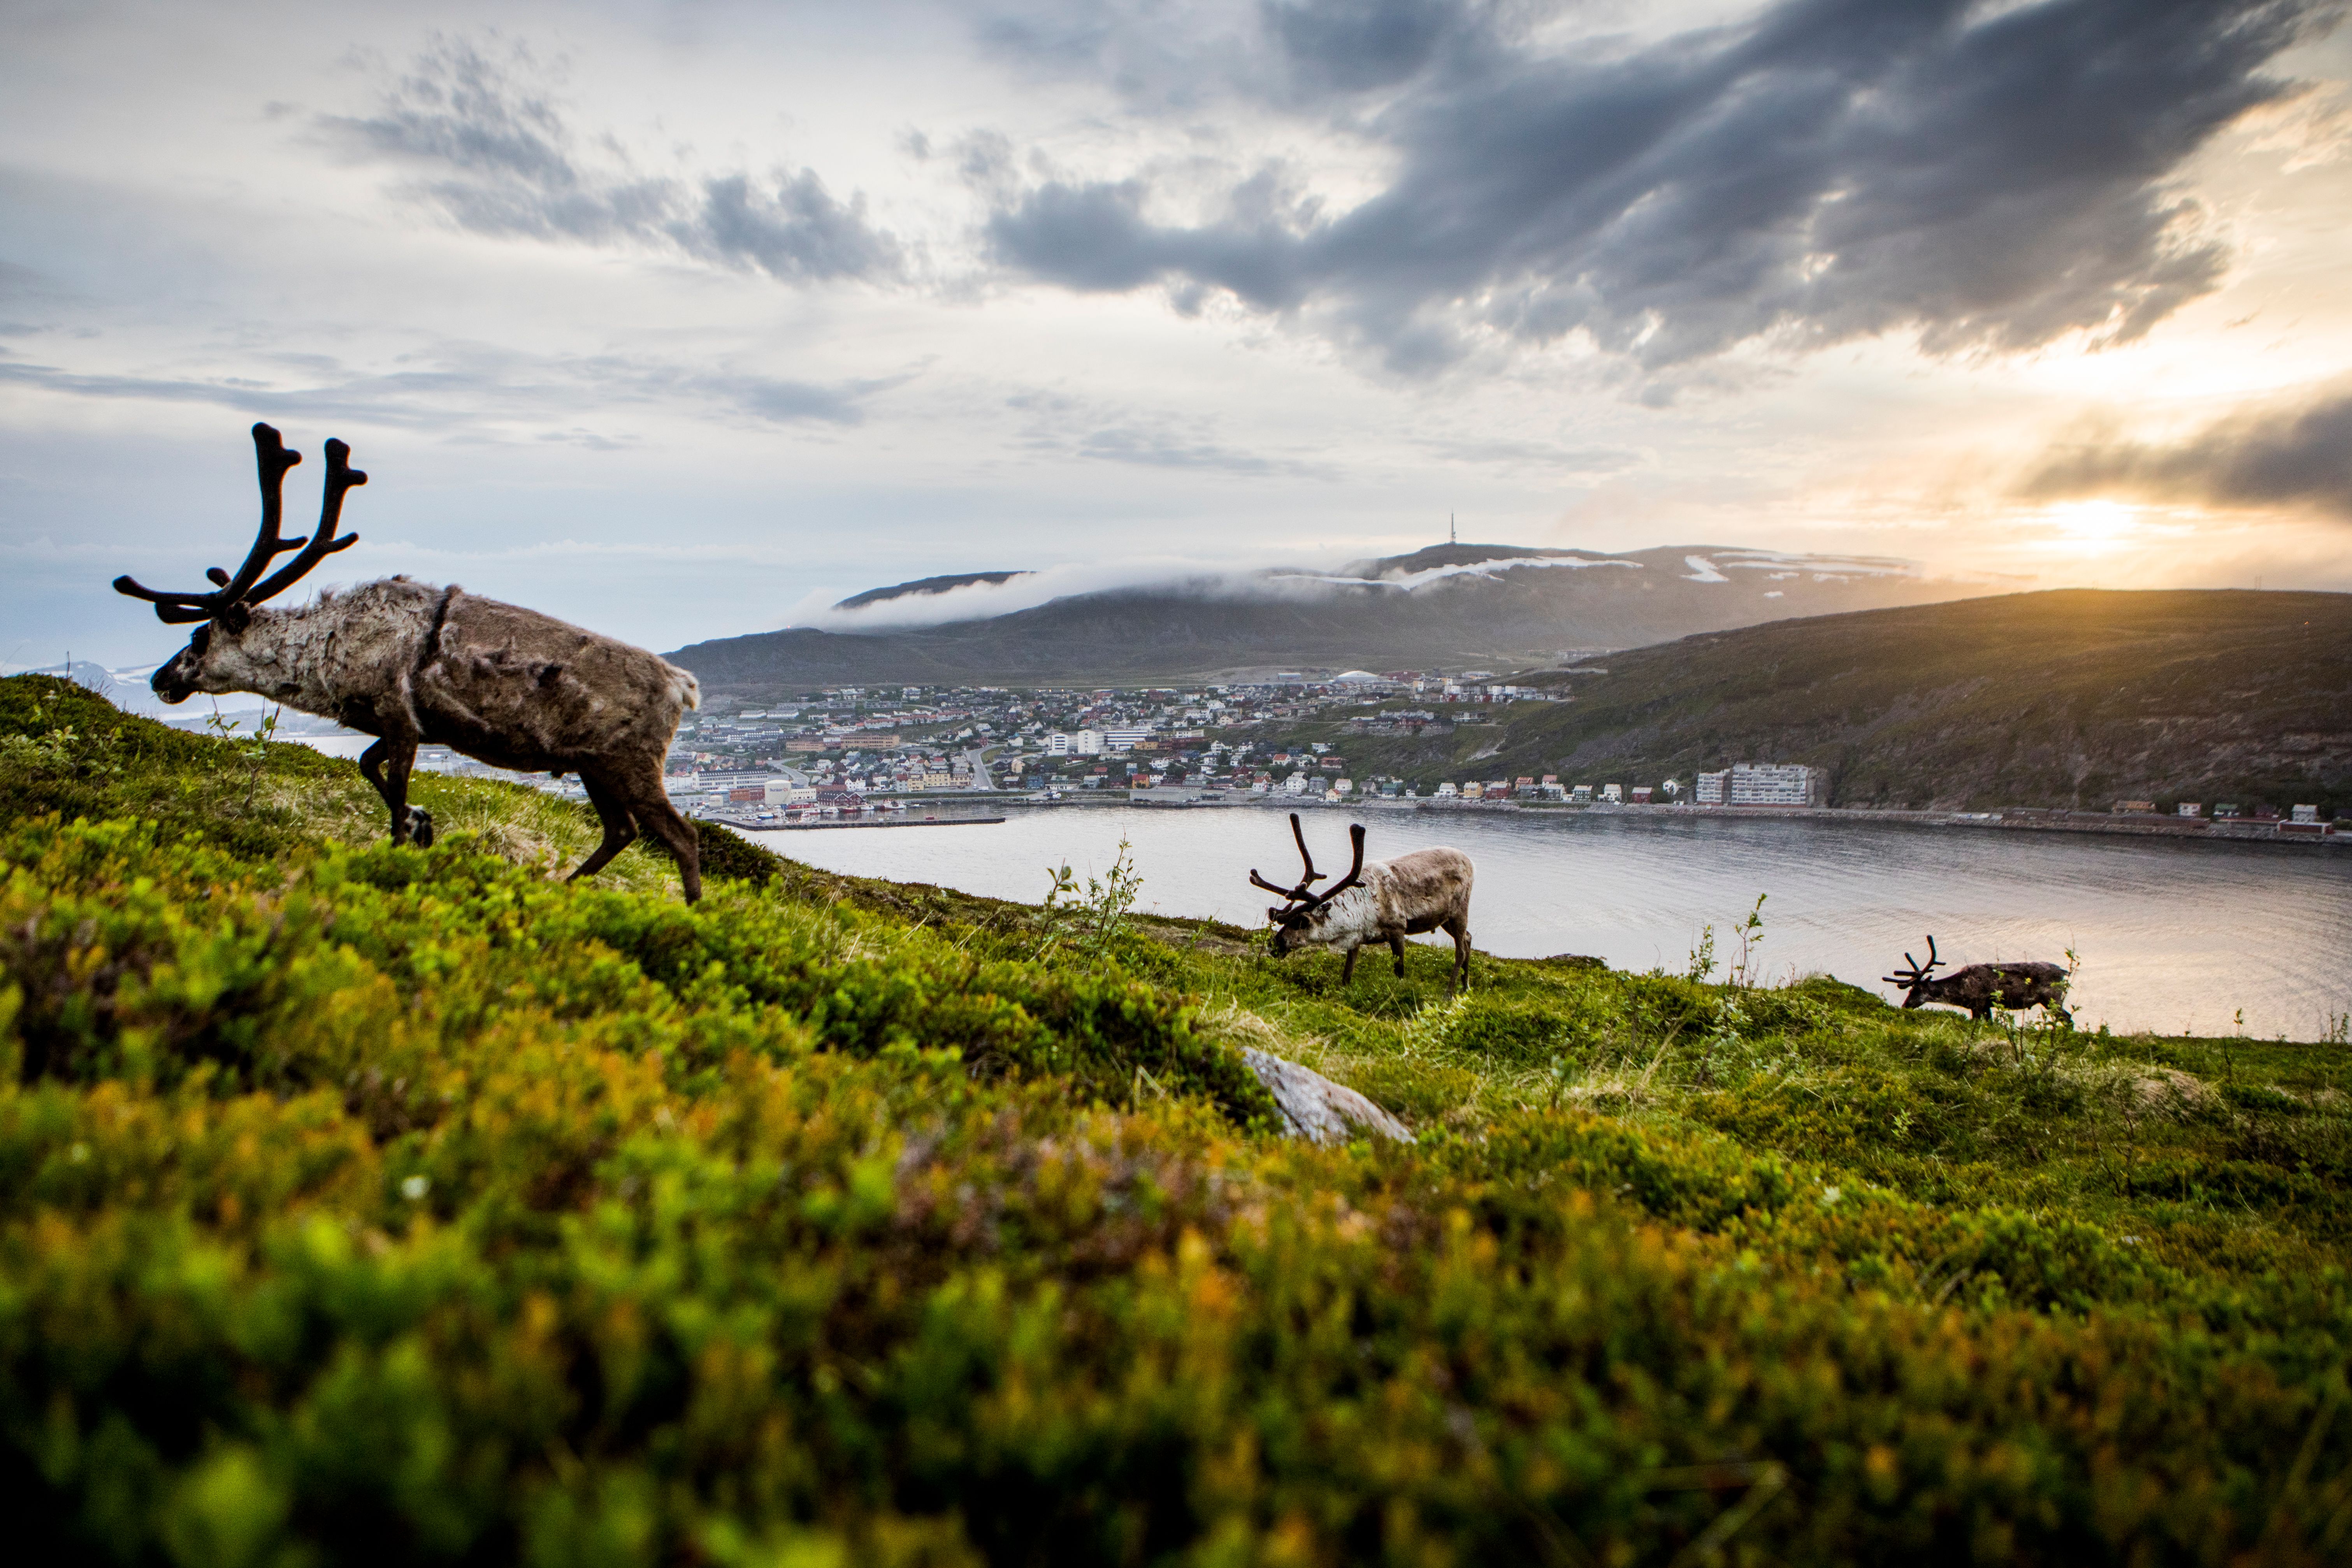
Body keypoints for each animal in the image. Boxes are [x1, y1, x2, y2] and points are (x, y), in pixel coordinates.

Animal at [115, 423, 707, 900]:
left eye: (198, 635)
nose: (160, 678)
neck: (332, 650)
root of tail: (684, 686)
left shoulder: (399, 717)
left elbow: (392, 781)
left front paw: (402, 845)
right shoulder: (409, 726)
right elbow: (366, 765)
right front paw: (422, 825)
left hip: (630, 762)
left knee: (682, 836)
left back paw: (692, 912)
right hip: (592, 766)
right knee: (622, 831)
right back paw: (564, 887)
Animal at [1252, 814, 1475, 991]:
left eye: (1300, 923)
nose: (1273, 945)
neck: (1363, 912)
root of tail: (1470, 861)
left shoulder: (1398, 929)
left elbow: (1400, 972)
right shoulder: (1357, 939)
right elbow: (1347, 975)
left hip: (1460, 910)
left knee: (1461, 949)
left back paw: (1449, 993)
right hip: (1445, 918)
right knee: (1468, 938)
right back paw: (1465, 986)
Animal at [1882, 936, 2070, 1021]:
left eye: (1915, 990)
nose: (1905, 1006)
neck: (1961, 991)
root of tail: (2063, 972)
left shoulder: (1979, 1004)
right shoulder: (1987, 1006)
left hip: (2052, 998)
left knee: (2068, 1018)